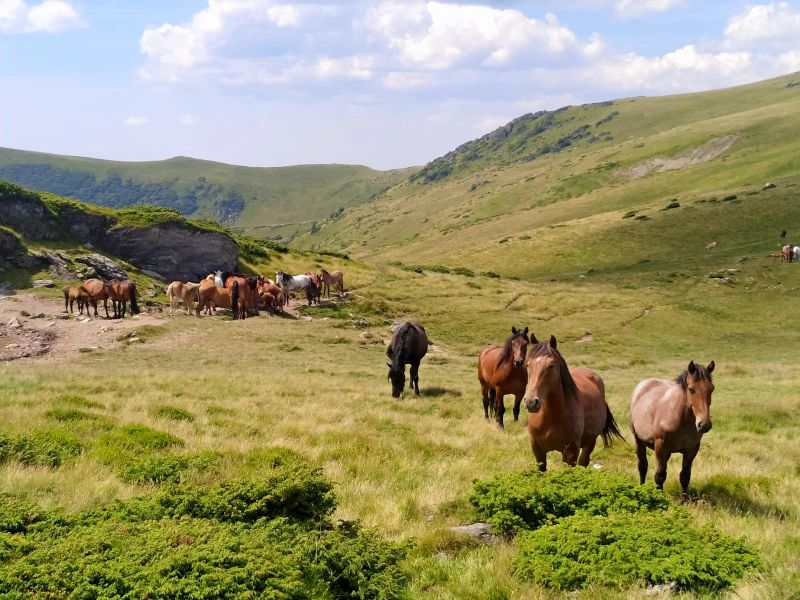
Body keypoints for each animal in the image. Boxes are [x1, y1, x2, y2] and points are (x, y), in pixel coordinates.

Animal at [520, 336, 624, 472]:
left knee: (584, 462)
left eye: (551, 365)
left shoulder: (570, 452)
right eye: (528, 364)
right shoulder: (538, 450)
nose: (531, 402)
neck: (552, 417)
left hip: (590, 442)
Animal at [632, 360, 720, 492]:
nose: (704, 425)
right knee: (642, 465)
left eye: (711, 389)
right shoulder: (660, 446)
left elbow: (685, 476)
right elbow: (659, 476)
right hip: (639, 440)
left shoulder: (692, 449)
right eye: (691, 389)